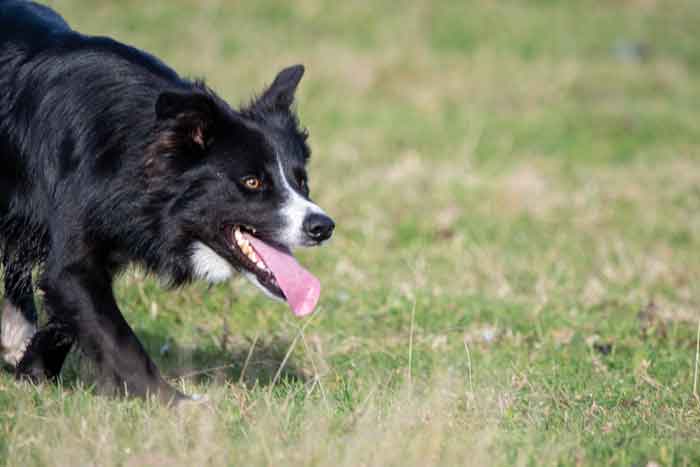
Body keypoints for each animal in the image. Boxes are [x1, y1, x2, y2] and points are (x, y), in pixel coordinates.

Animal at [0, 0, 334, 404]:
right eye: (252, 182)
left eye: (302, 181)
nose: (323, 227)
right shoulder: (73, 232)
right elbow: (113, 333)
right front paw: (177, 405)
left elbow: (67, 313)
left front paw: (32, 369)